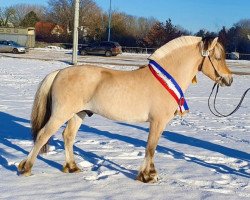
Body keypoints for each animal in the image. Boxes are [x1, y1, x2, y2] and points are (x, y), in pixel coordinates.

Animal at [18, 36, 233, 183]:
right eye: (218, 57)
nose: (229, 79)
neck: (164, 80)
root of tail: (59, 72)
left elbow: (151, 147)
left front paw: (149, 174)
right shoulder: (157, 122)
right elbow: (151, 147)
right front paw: (147, 176)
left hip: (78, 114)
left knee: (68, 136)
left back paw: (72, 167)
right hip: (61, 113)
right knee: (43, 135)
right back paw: (26, 168)